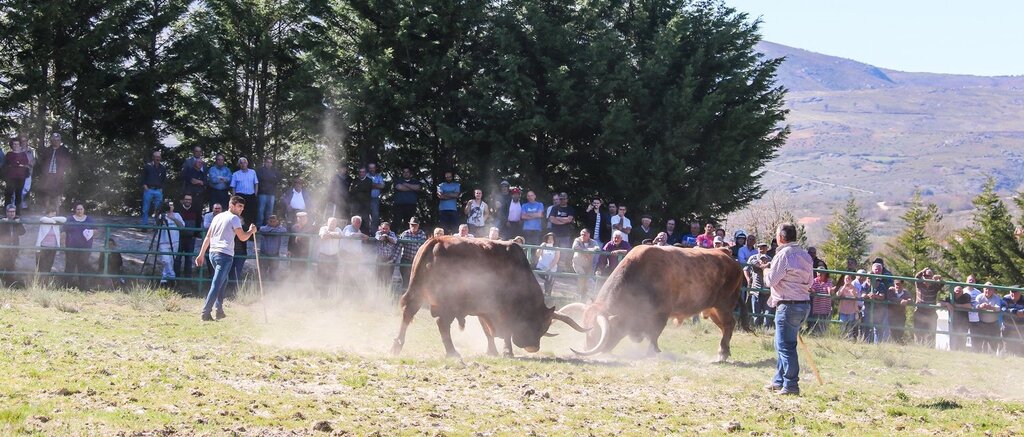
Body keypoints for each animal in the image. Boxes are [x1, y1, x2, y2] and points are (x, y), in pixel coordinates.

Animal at [389, 237, 589, 358]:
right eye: (541, 324)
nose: (534, 347)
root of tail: (437, 241)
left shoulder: (483, 309)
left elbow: (487, 331)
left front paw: (492, 351)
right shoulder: (502, 310)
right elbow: (505, 330)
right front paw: (507, 351)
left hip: (417, 292)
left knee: (408, 313)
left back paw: (396, 345)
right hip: (447, 302)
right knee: (442, 323)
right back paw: (452, 352)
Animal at [565, 246, 749, 362]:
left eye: (595, 331)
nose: (586, 349)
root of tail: (726, 254)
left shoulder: (661, 314)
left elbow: (654, 334)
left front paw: (652, 353)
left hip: (724, 305)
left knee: (729, 324)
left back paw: (722, 353)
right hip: (712, 309)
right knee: (725, 327)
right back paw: (724, 351)